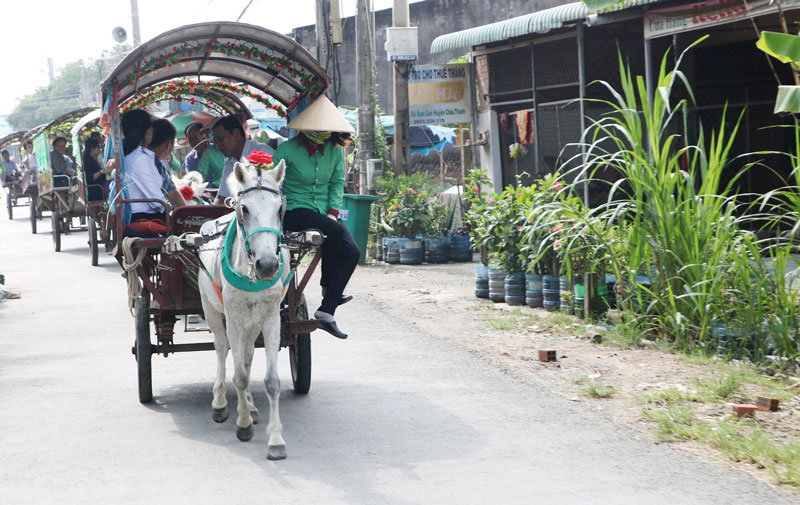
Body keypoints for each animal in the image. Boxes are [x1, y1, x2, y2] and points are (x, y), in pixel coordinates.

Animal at [198, 159, 290, 458]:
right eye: (245, 209)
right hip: (212, 310)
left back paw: (249, 404)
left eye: (279, 208)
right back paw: (220, 402)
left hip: (253, 322)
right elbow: (238, 376)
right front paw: (243, 424)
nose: (268, 265)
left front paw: (276, 439)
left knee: (247, 355)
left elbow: (271, 380)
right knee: (222, 349)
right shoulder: (234, 318)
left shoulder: (271, 318)